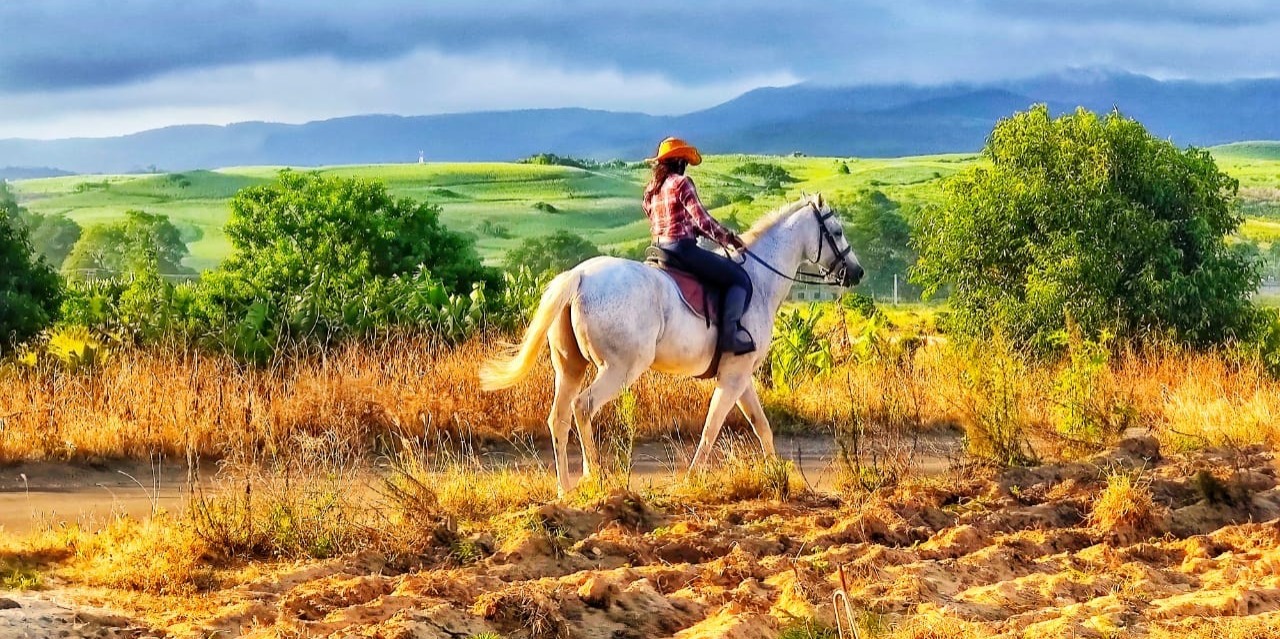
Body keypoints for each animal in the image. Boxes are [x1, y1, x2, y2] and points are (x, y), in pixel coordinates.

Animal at [483, 194, 865, 494]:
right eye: (837, 231)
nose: (857, 272)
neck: (760, 280)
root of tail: (580, 276)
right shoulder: (733, 378)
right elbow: (712, 427)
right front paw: (693, 479)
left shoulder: (741, 377)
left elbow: (762, 426)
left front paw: (776, 477)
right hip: (620, 369)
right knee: (583, 408)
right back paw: (597, 478)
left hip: (570, 367)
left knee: (559, 418)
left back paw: (565, 489)